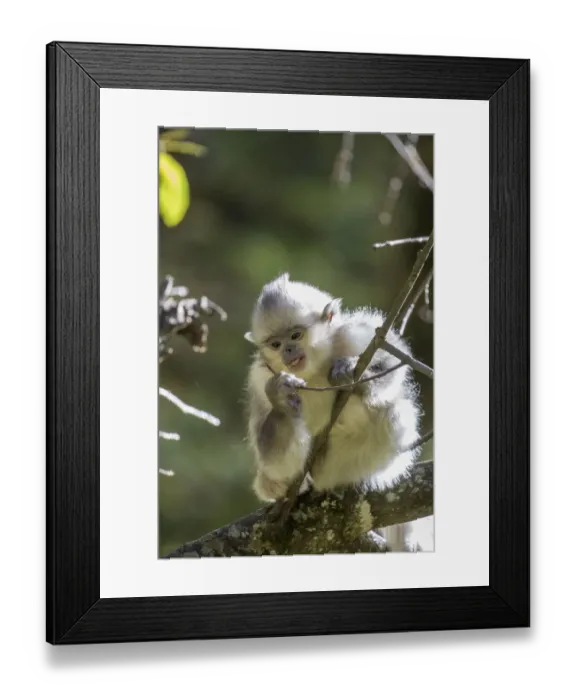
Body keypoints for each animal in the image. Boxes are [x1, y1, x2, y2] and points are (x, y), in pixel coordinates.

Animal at [243, 273, 433, 552]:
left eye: (296, 335)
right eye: (276, 344)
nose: (287, 350)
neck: (312, 370)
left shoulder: (355, 335)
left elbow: (393, 362)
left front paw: (355, 375)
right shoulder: (261, 377)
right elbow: (265, 441)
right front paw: (281, 400)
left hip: (351, 460)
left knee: (394, 412)